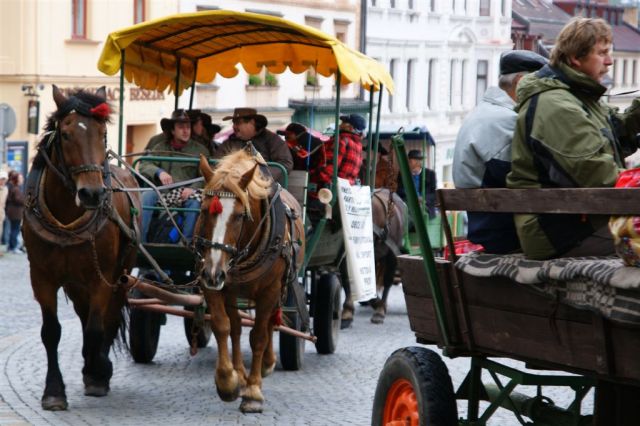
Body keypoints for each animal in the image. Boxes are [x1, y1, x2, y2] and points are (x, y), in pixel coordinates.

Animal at [22, 85, 140, 410]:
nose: (92, 194)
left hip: (120, 273)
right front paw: (54, 391)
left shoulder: (102, 277)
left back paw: (96, 367)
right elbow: (51, 332)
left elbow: (96, 328)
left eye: (103, 134)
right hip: (75, 283)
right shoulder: (42, 278)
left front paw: (98, 370)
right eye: (65, 134)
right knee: (84, 313)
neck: (66, 218)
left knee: (107, 318)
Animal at [195, 147, 304, 412]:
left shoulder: (269, 291)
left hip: (279, 287)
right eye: (203, 210)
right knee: (235, 327)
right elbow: (223, 326)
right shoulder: (213, 284)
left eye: (238, 216)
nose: (214, 272)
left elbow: (259, 336)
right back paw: (240, 373)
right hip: (232, 289)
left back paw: (266, 364)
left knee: (270, 323)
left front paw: (253, 391)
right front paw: (228, 381)